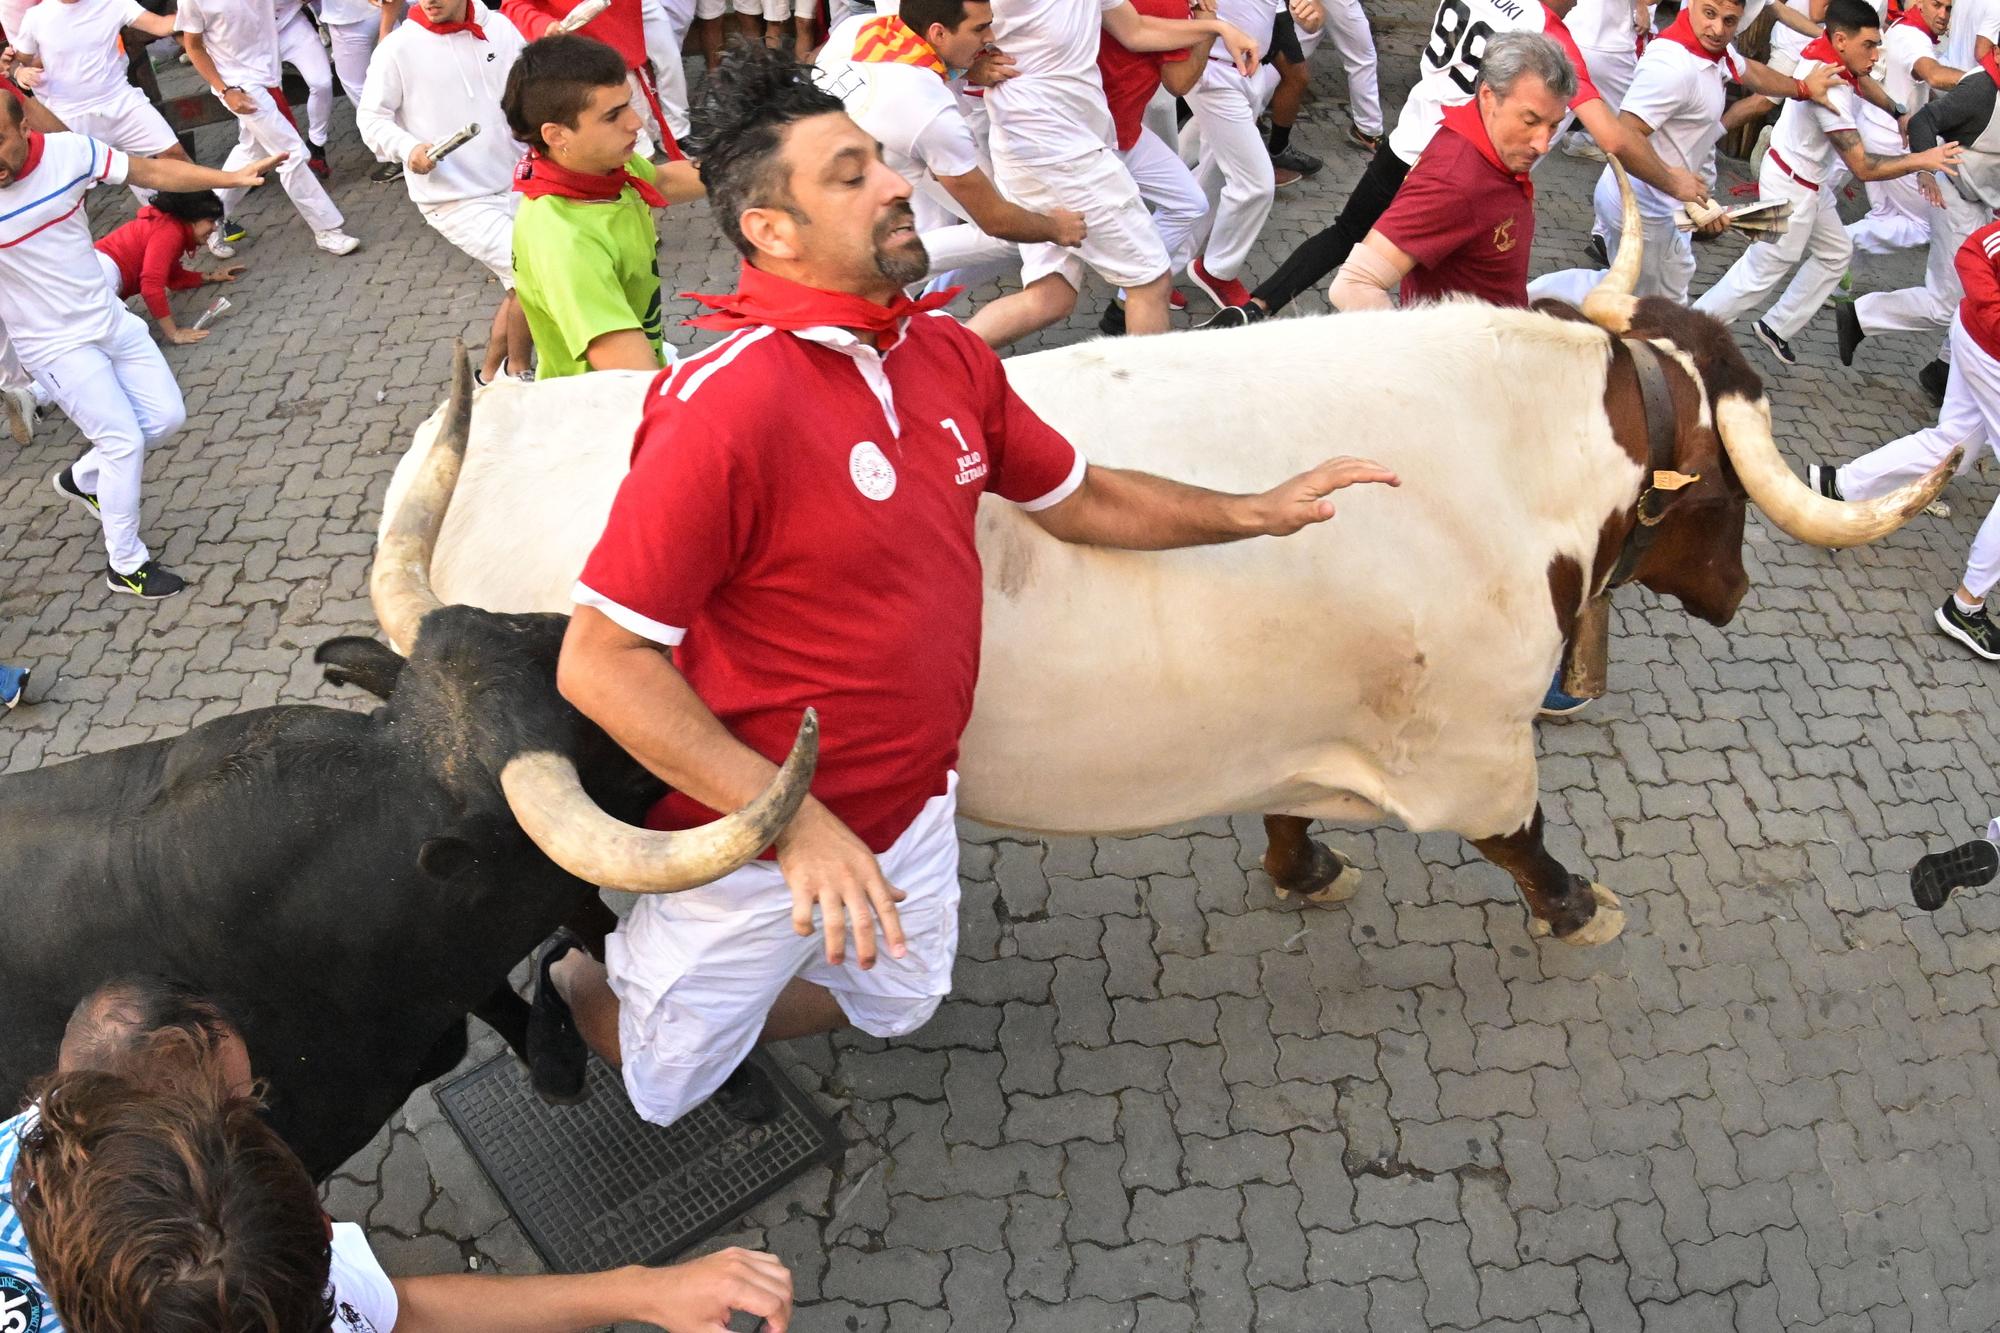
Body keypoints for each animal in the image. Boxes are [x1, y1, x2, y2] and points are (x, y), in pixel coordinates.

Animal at [382, 171, 1944, 940]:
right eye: (1722, 502)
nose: (1739, 595)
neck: (1502, 454)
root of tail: (504, 436)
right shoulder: (1473, 739)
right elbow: (1521, 833)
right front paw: (1576, 907)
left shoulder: (1310, 719)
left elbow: (1290, 808)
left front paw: (1302, 864)